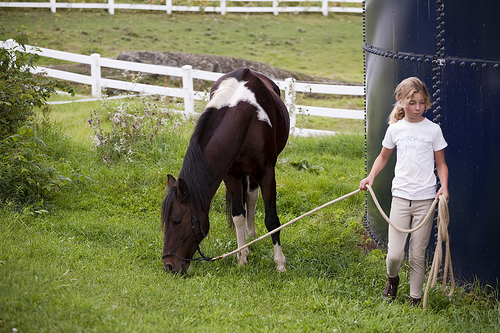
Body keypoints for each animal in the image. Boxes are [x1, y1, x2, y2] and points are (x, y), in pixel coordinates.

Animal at [162, 67, 292, 272]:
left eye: (176, 221)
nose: (168, 265)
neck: (243, 120)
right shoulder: (230, 174)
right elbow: (238, 214)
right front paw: (242, 257)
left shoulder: (267, 173)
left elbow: (272, 220)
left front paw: (280, 263)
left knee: (252, 197)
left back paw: (253, 235)